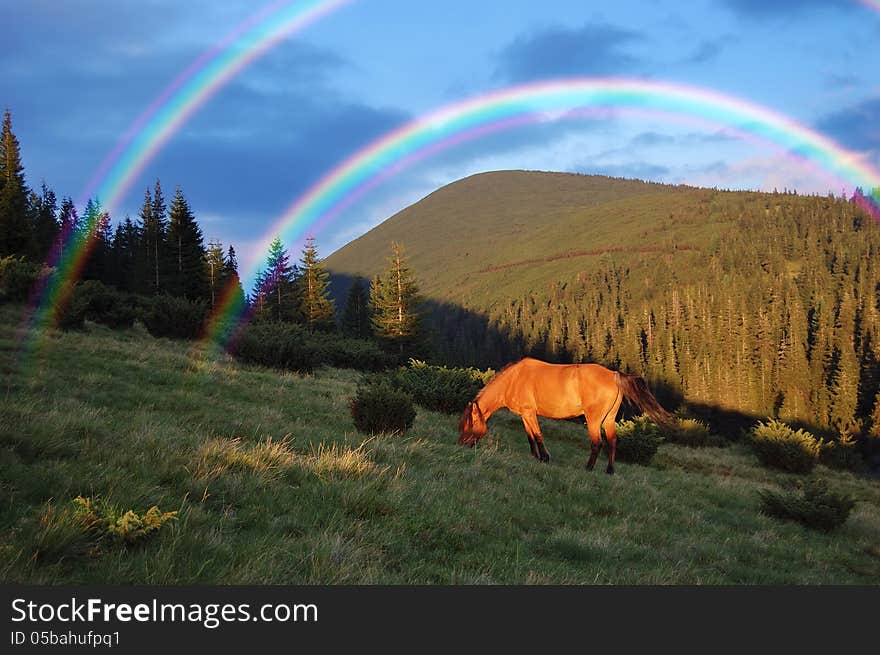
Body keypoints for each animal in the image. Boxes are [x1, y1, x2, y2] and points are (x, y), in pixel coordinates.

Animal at [458, 356, 672, 474]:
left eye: (470, 424)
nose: (462, 446)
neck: (514, 379)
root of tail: (613, 375)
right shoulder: (525, 415)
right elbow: (530, 436)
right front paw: (535, 456)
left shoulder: (529, 412)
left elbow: (538, 435)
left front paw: (544, 458)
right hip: (609, 419)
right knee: (612, 441)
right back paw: (609, 471)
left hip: (593, 419)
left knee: (597, 442)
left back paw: (588, 468)